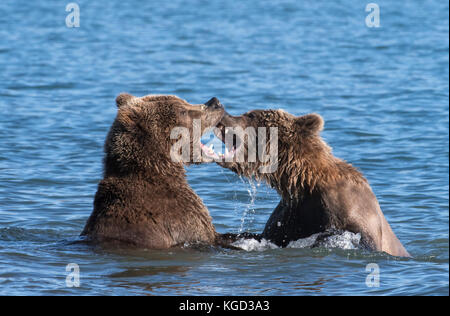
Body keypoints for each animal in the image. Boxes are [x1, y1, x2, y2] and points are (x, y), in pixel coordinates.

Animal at [215, 108, 412, 256]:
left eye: (250, 115)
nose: (221, 115)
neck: (305, 181)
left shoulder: (353, 211)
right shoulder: (292, 213)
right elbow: (264, 236)